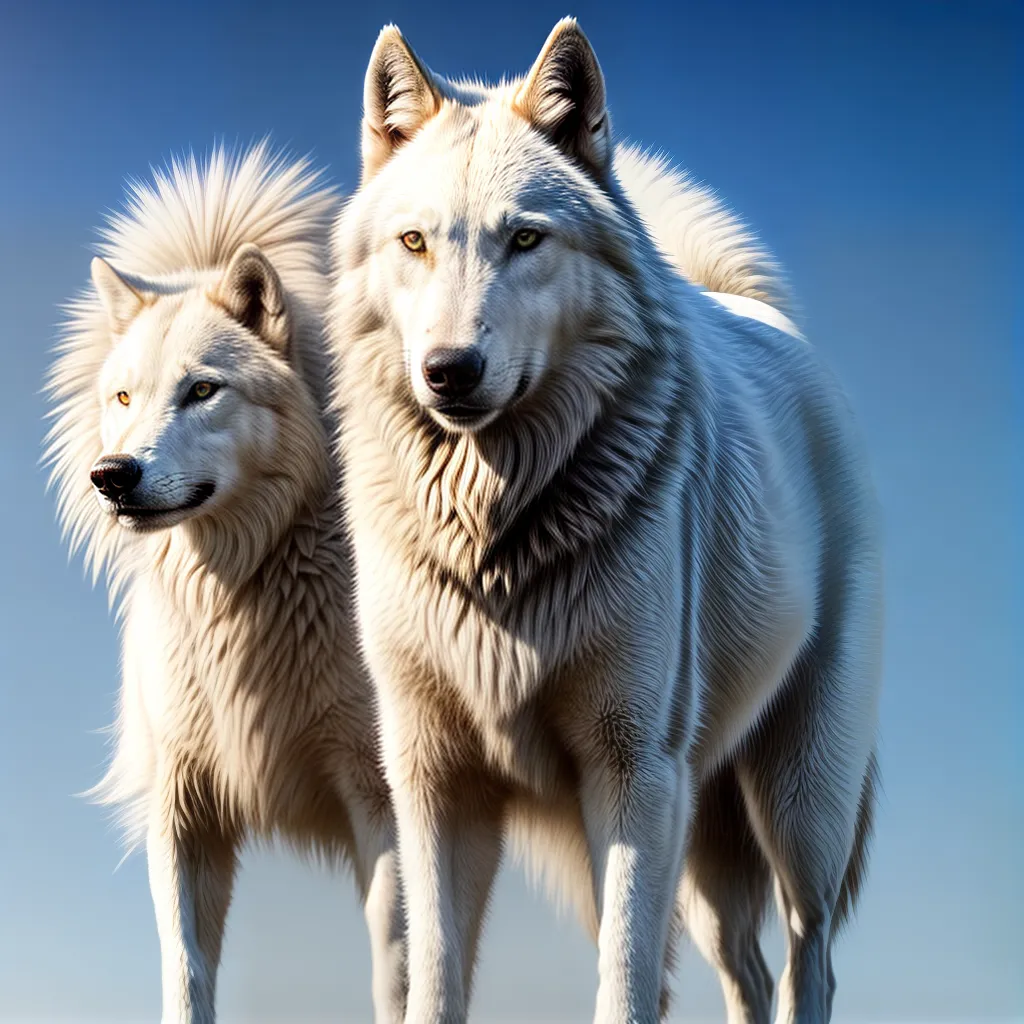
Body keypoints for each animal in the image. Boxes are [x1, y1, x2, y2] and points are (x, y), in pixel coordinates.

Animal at [45, 143, 407, 1024]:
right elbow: (185, 972)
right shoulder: (184, 812)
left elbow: (399, 967)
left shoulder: (382, 797)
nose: (111, 476)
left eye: (202, 389)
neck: (243, 590)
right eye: (124, 396)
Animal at [330, 18, 882, 1024]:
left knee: (809, 961)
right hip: (699, 848)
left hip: (795, 807)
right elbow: (437, 976)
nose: (449, 371)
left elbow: (622, 988)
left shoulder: (631, 771)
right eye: (415, 242)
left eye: (524, 239)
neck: (499, 541)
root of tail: (755, 313)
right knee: (742, 975)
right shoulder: (434, 784)